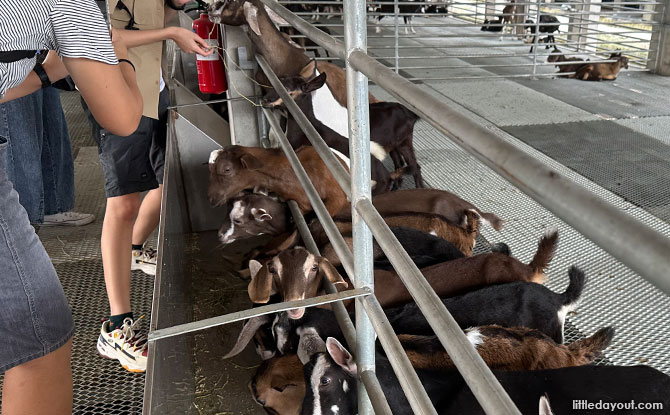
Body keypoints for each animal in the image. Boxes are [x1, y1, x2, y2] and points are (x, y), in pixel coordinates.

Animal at [266, 70, 422, 190]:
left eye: (287, 89)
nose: (265, 99)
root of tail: (410, 113)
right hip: (397, 144)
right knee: (402, 163)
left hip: (403, 141)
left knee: (414, 165)